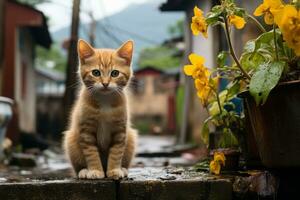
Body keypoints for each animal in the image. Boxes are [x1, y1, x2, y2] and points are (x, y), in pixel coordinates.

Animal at [64, 39, 138, 180]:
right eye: (96, 73)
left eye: (115, 73)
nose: (105, 83)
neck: (105, 101)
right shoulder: (86, 132)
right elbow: (91, 153)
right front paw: (95, 171)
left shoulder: (120, 131)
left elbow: (116, 152)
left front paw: (114, 170)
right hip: (70, 139)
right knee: (77, 167)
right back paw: (83, 171)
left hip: (131, 136)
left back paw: (123, 169)